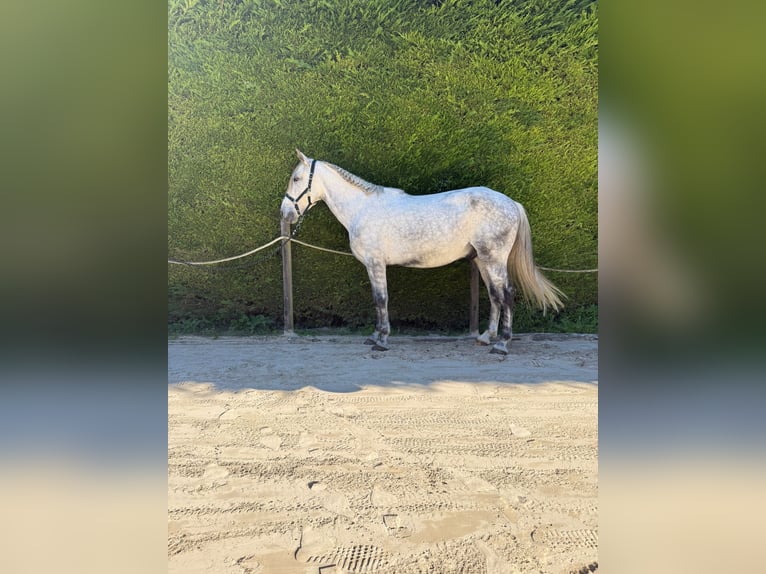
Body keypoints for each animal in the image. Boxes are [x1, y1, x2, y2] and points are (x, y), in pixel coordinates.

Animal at [280, 150, 564, 354]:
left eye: (296, 179)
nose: (285, 213)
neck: (362, 208)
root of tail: (511, 203)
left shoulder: (375, 263)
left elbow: (381, 299)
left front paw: (382, 340)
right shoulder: (372, 266)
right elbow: (376, 300)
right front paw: (375, 336)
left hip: (494, 260)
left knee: (507, 294)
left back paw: (502, 345)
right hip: (483, 260)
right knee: (495, 296)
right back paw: (486, 338)